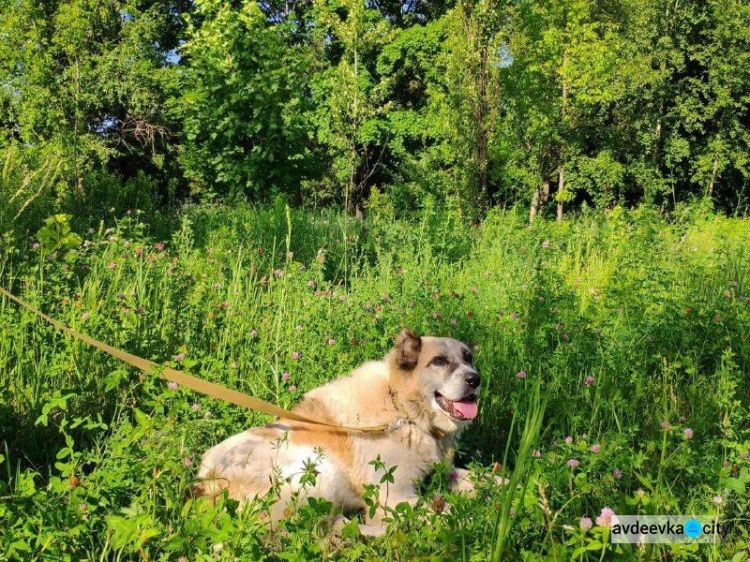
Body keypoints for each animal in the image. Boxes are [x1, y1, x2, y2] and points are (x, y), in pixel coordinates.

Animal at [197, 326, 484, 532]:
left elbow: (481, 479)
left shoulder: (443, 471)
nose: (475, 379)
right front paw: (476, 519)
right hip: (318, 471)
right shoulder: (394, 497)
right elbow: (445, 513)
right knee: (340, 530)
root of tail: (205, 483)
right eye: (439, 361)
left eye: (468, 358)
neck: (403, 409)